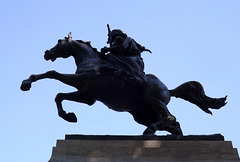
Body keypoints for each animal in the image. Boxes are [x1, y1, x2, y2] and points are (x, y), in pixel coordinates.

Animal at [20, 33, 227, 135]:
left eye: (59, 41)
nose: (47, 53)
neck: (91, 61)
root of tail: (168, 89)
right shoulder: (87, 96)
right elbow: (59, 96)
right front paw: (69, 116)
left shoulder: (82, 83)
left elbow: (52, 73)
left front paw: (26, 83)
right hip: (143, 114)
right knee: (174, 124)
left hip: (155, 101)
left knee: (170, 117)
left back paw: (151, 131)